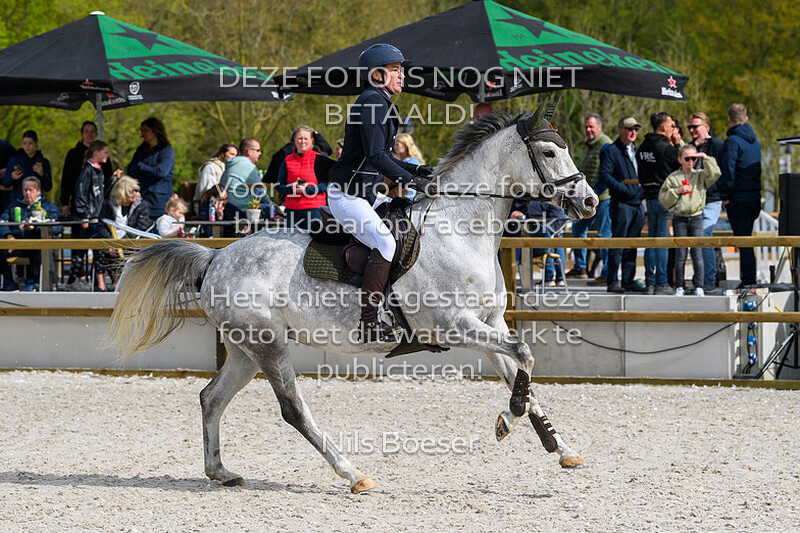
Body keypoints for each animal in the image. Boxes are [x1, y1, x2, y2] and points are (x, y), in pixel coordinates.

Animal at [107, 99, 598, 494]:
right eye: (550, 152)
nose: (591, 202)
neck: (459, 228)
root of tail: (216, 259)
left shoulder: (488, 324)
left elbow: (522, 372)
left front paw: (560, 447)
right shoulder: (455, 326)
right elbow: (525, 355)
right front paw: (507, 420)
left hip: (246, 349)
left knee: (212, 398)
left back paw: (221, 472)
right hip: (268, 345)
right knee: (293, 410)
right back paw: (352, 473)